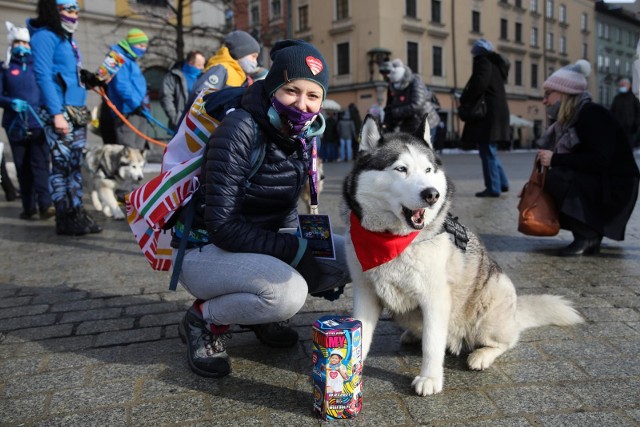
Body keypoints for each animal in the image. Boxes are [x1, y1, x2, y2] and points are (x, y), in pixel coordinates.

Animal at [342, 115, 584, 396]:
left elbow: (432, 344)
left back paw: (481, 355)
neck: (393, 241)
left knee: (507, 341)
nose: (432, 194)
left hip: (490, 306)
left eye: (428, 170)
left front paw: (430, 378)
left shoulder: (435, 298)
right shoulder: (365, 293)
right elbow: (361, 333)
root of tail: (515, 313)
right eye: (400, 169)